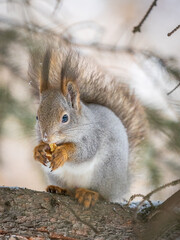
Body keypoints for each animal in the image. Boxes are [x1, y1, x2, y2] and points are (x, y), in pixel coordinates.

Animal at [28, 42, 146, 208]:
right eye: (37, 117)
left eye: (65, 118)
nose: (46, 137)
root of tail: (122, 185)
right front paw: (39, 150)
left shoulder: (93, 136)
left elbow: (84, 152)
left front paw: (63, 153)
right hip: (57, 176)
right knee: (69, 189)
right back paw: (59, 189)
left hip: (106, 171)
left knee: (103, 195)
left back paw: (89, 193)